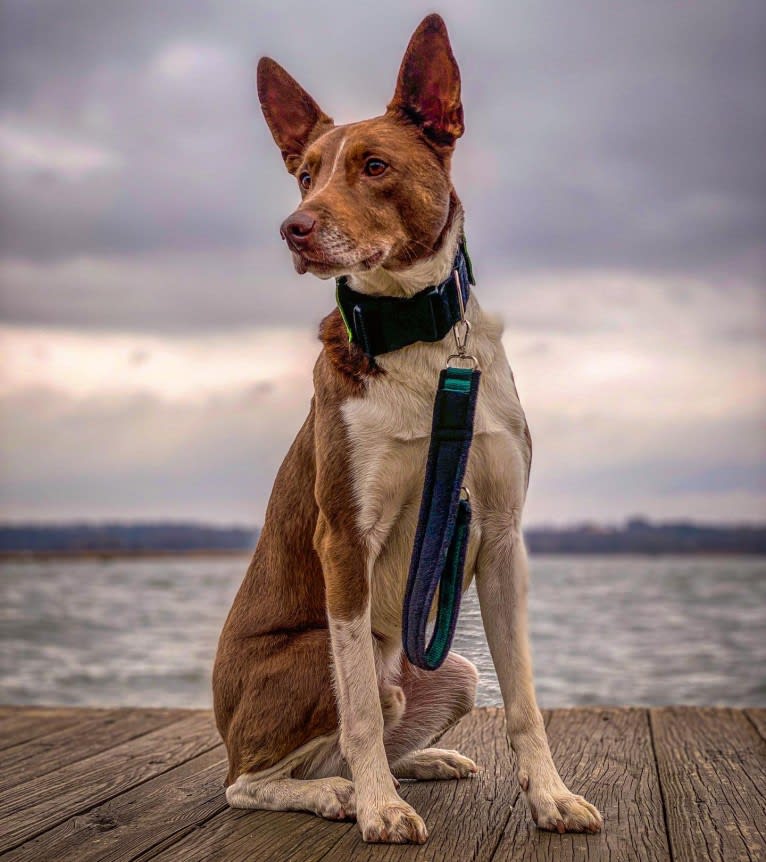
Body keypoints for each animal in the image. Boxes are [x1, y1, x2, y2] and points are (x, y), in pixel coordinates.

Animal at [213, 13, 604, 848]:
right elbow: (360, 707)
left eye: (375, 165)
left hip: (448, 668)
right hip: (314, 664)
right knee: (251, 780)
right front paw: (379, 808)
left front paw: (551, 797)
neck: (418, 338)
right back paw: (338, 793)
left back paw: (420, 763)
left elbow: (525, 699)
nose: (293, 228)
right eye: (304, 176)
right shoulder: (344, 542)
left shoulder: (500, 534)